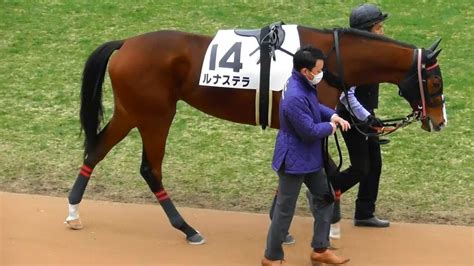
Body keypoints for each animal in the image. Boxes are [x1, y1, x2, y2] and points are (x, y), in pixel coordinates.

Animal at [65, 26, 446, 244]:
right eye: (434, 82)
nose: (439, 121)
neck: (331, 59)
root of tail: (125, 43)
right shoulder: (309, 122)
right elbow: (324, 170)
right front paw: (330, 222)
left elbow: (302, 171)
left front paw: (286, 223)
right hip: (155, 114)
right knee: (150, 168)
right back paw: (187, 229)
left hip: (131, 111)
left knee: (95, 150)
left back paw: (73, 212)